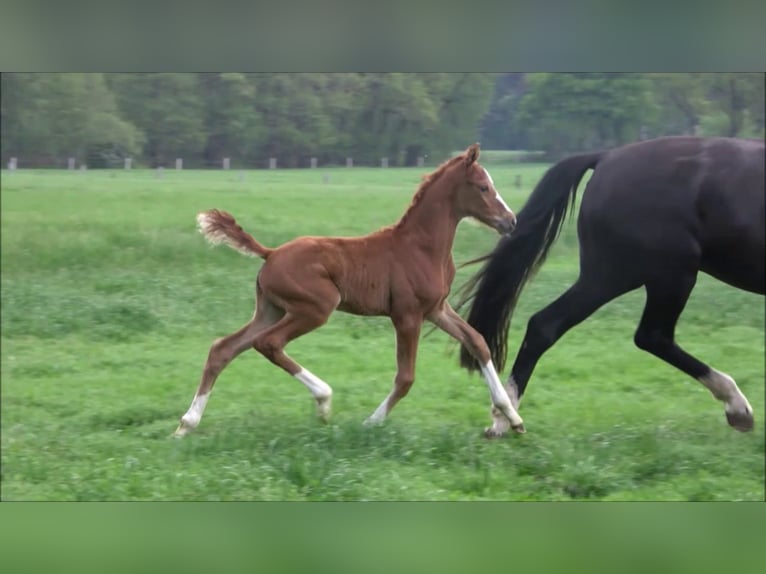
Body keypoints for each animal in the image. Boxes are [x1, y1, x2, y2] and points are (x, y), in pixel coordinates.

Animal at [174, 143, 524, 436]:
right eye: (483, 187)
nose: (510, 221)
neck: (422, 247)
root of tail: (270, 253)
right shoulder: (407, 314)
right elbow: (406, 377)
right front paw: (372, 421)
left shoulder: (437, 309)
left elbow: (478, 342)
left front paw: (513, 417)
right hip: (316, 307)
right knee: (268, 343)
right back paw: (324, 399)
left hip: (271, 309)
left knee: (223, 348)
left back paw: (187, 424)